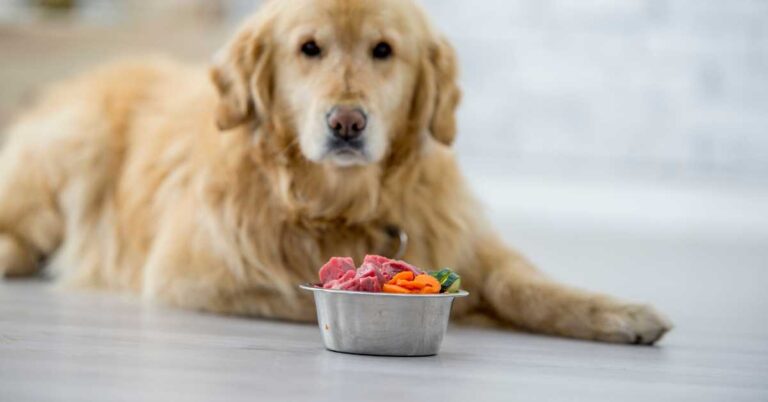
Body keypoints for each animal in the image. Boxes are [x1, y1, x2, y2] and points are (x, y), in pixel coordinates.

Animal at [0, 0, 672, 346]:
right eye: (309, 48)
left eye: (384, 50)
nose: (347, 122)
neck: (341, 201)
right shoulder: (193, 276)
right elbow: (302, 297)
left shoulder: (463, 236)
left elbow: (523, 282)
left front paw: (620, 313)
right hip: (73, 149)